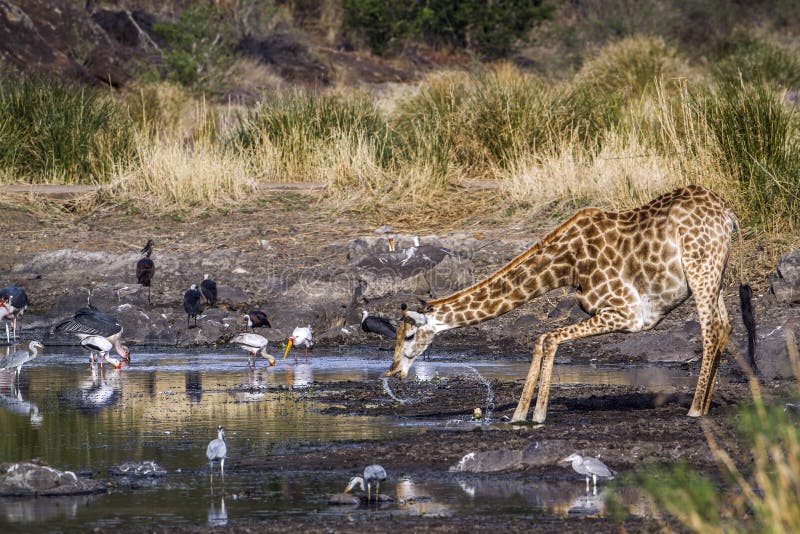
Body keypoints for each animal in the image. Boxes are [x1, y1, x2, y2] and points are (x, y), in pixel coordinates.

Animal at [384, 186, 752, 426]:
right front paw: (519, 415)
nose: (393, 371)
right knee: (725, 326)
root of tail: (728, 214)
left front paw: (537, 415)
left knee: (710, 330)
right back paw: (707, 404)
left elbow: (548, 338)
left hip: (700, 268)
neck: (567, 266)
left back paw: (694, 409)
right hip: (714, 272)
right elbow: (542, 339)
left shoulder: (628, 314)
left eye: (408, 336)